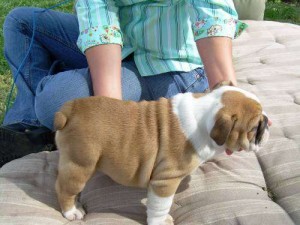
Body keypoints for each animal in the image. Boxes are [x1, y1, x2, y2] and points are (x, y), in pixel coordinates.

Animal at [54, 85, 270, 225]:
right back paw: (72, 212)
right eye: (254, 127)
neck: (205, 115)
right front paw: (161, 221)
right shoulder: (165, 181)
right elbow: (161, 206)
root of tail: (70, 109)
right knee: (64, 189)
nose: (269, 122)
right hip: (80, 165)